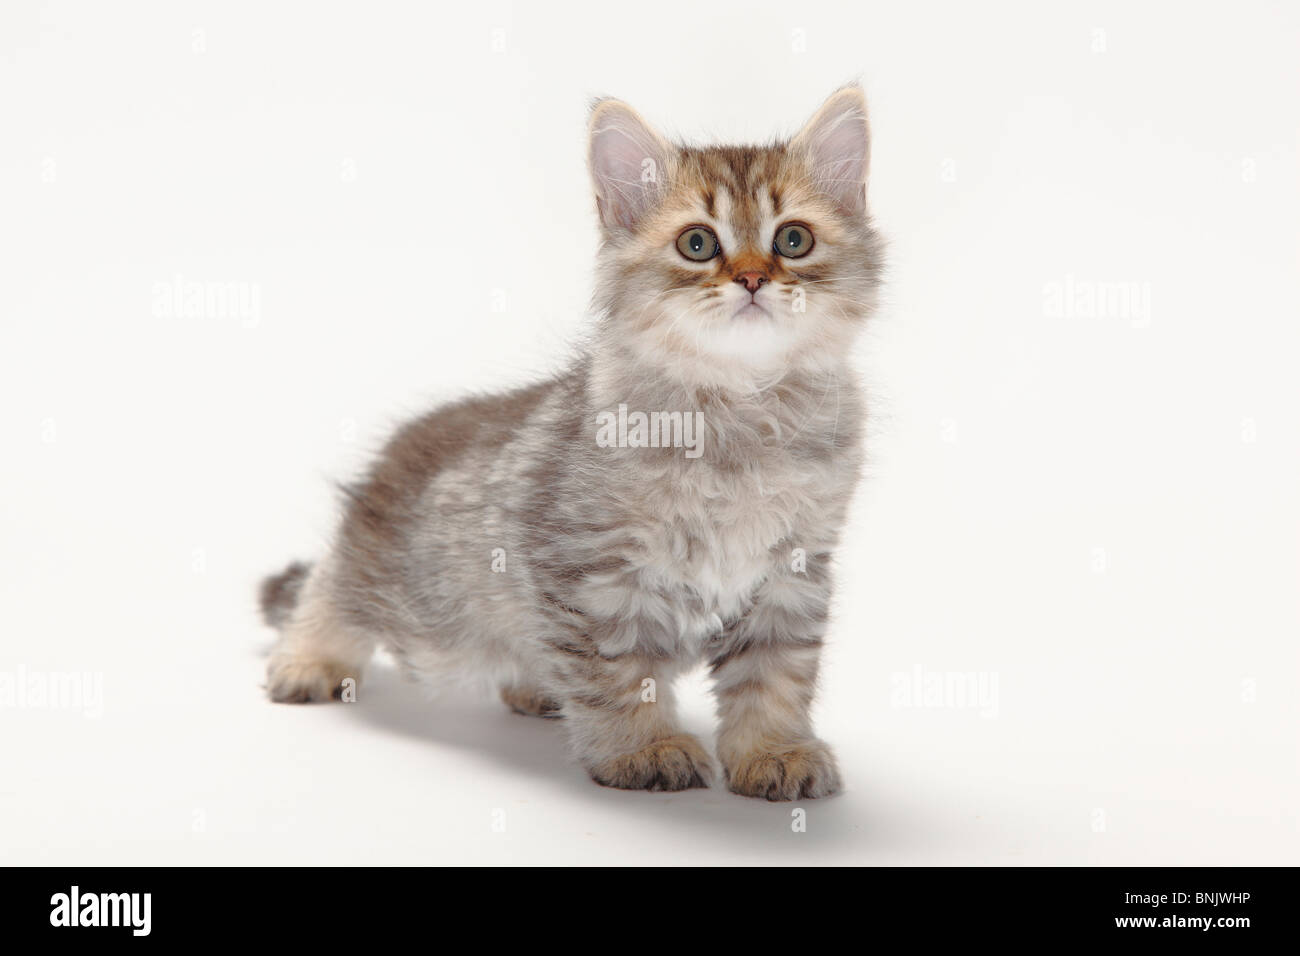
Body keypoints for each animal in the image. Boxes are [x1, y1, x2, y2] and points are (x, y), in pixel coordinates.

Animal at [256, 87, 883, 801]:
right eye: (697, 243)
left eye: (793, 240)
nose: (752, 279)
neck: (741, 416)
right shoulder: (595, 575)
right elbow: (621, 675)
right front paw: (644, 748)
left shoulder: (792, 574)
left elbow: (774, 678)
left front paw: (773, 752)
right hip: (403, 589)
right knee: (327, 586)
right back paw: (306, 658)